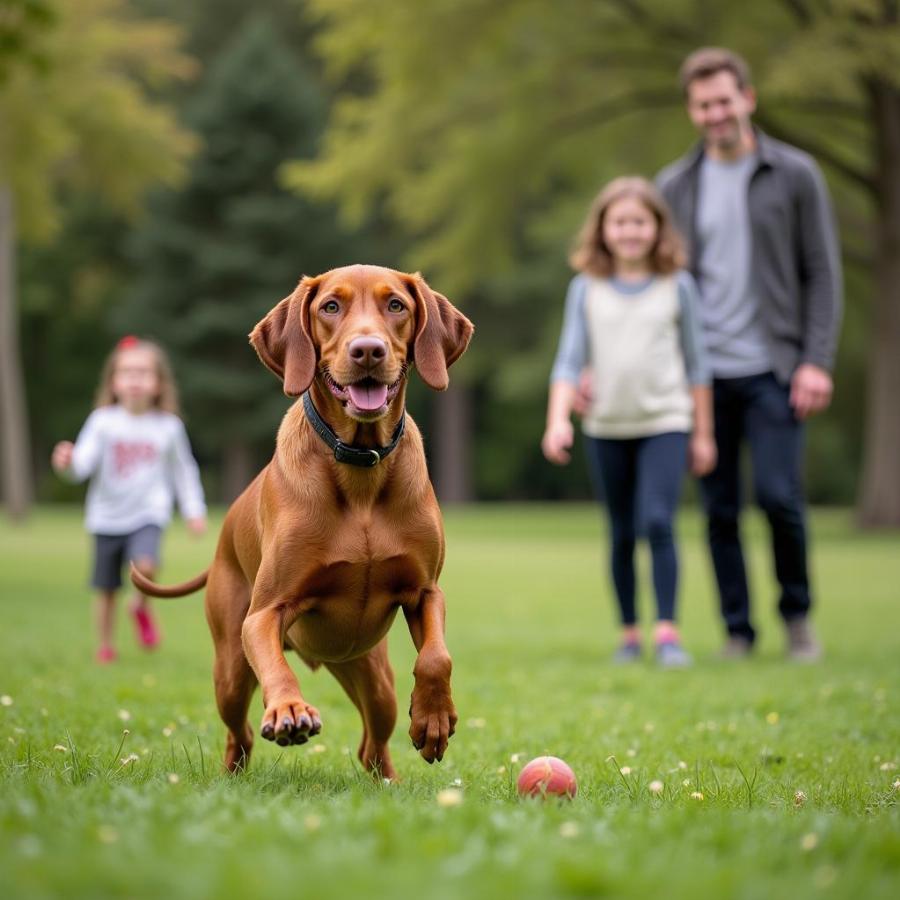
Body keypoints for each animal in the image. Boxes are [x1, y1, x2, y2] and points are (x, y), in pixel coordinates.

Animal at [134, 264, 474, 776]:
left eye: (396, 305)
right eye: (330, 306)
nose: (367, 349)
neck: (360, 468)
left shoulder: (425, 591)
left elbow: (437, 657)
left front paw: (434, 719)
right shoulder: (264, 614)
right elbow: (277, 666)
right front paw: (290, 709)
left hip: (372, 674)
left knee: (373, 741)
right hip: (230, 670)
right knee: (240, 731)